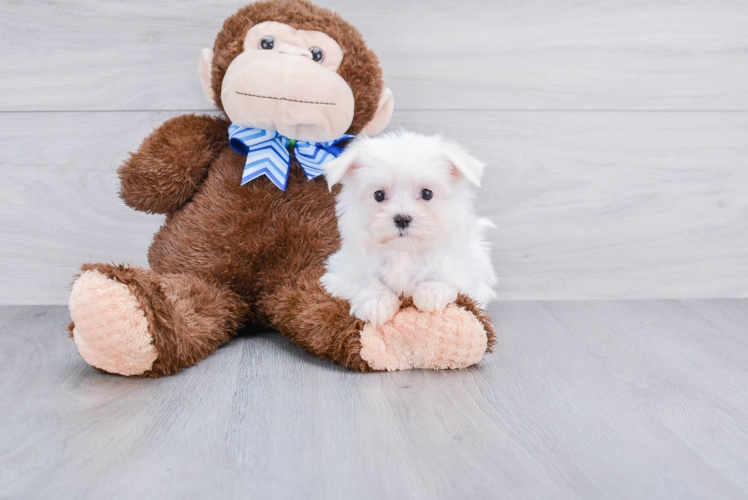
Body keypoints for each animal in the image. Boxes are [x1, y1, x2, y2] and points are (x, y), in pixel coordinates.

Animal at [320, 129, 496, 326]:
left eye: (426, 193)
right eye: (379, 195)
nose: (402, 219)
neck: (403, 252)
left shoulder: (465, 270)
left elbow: (445, 275)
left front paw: (432, 293)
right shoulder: (343, 269)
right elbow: (363, 278)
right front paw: (376, 302)